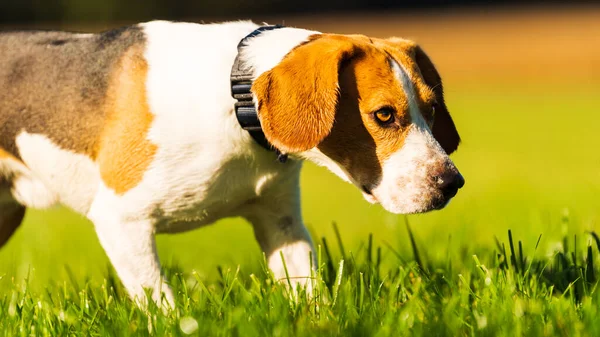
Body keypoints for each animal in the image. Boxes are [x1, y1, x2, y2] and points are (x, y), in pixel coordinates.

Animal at [0, 20, 464, 304]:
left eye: (432, 109)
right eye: (383, 115)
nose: (451, 183)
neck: (235, 97)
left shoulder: (281, 223)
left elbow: (307, 288)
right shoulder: (121, 220)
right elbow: (160, 303)